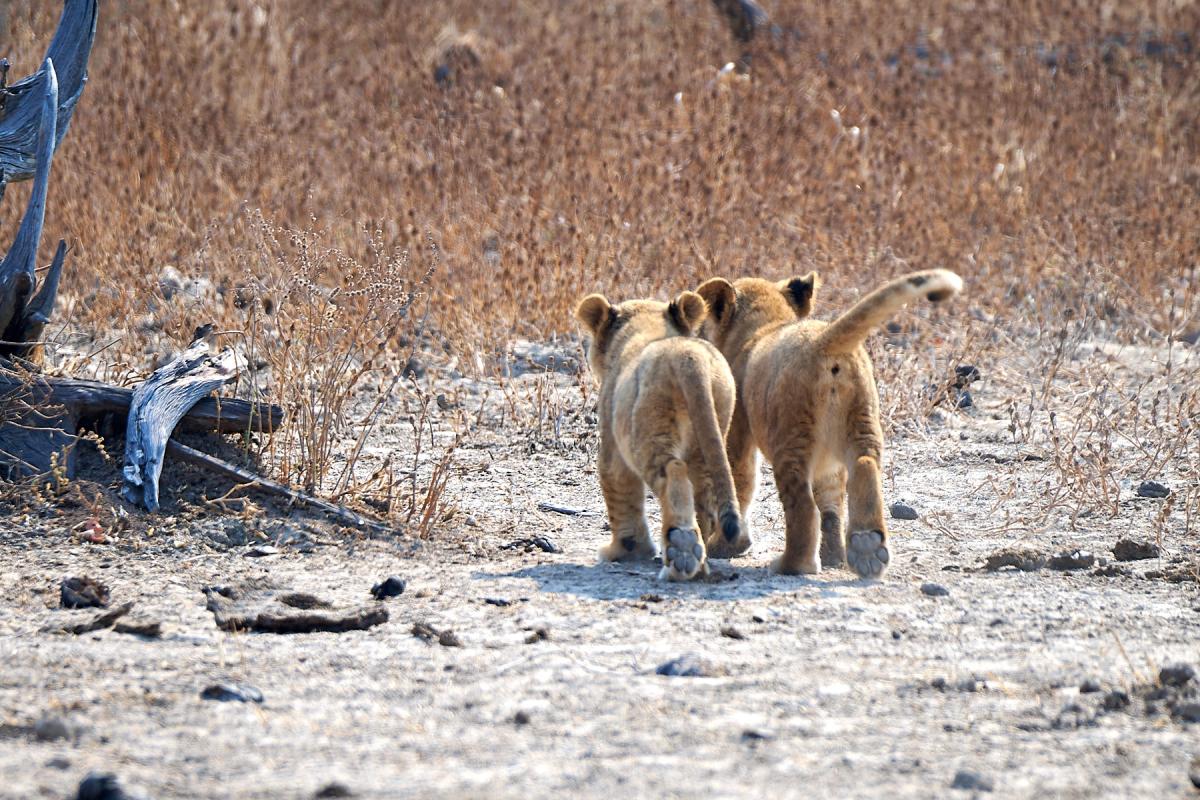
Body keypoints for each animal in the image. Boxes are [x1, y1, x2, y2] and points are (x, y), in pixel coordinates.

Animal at [575, 290, 743, 581]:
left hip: (646, 434)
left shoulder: (612, 445)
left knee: (675, 473)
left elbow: (619, 491)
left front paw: (623, 551)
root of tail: (688, 356)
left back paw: (682, 551)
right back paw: (697, 562)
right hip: (711, 432)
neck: (645, 326)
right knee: (704, 496)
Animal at [696, 269, 963, 578]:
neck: (764, 327)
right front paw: (834, 556)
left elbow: (740, 482)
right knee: (861, 470)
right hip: (862, 421)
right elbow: (830, 503)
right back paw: (865, 549)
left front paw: (726, 546)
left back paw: (792, 565)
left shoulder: (738, 431)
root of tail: (823, 340)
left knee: (803, 505)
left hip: (790, 434)